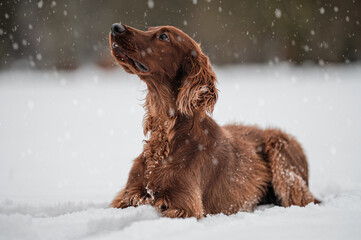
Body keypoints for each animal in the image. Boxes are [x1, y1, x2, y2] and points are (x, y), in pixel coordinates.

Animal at [108, 23, 316, 218]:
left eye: (164, 36)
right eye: (149, 28)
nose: (115, 27)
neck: (167, 134)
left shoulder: (185, 206)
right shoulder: (128, 195)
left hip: (280, 145)